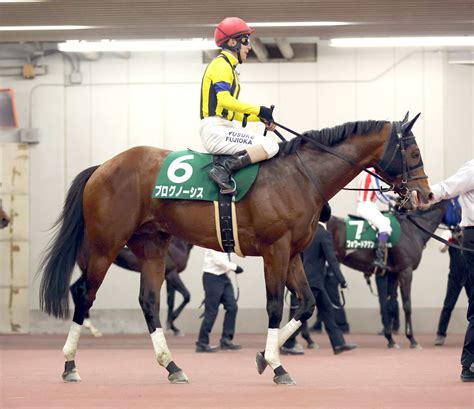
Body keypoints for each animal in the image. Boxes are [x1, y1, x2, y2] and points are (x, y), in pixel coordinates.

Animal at [40, 113, 432, 384]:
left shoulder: (293, 253)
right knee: (84, 295)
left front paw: (264, 356)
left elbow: (306, 303)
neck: (300, 176)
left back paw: (173, 366)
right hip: (104, 247)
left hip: (151, 246)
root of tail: (103, 166)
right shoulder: (275, 251)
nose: (424, 195)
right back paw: (70, 364)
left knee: (149, 301)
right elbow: (275, 305)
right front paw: (277, 365)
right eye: (413, 151)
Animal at [328, 199, 446, 346]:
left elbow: (389, 304)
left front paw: (390, 338)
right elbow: (407, 305)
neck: (412, 230)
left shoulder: (393, 274)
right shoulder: (406, 271)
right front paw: (412, 339)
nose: (460, 230)